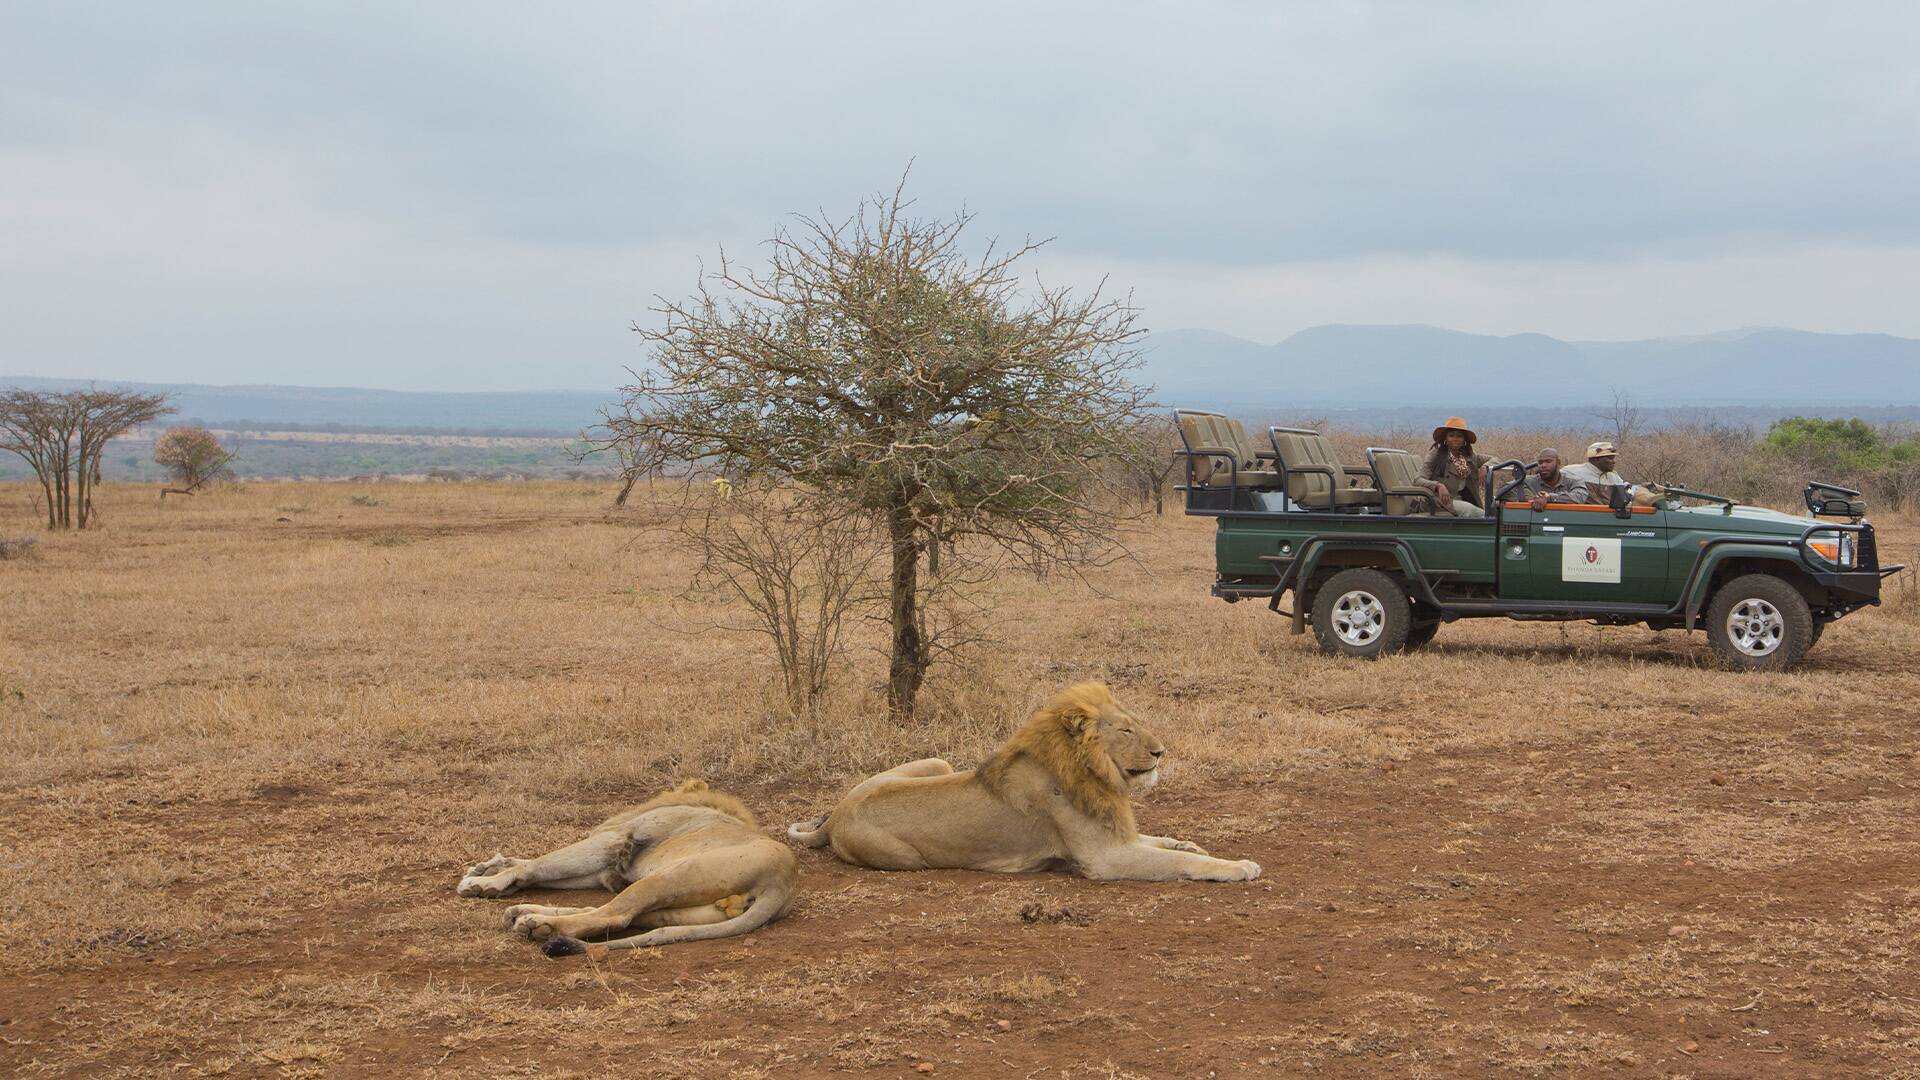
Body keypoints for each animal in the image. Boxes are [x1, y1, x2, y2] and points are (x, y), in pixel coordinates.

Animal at [456, 776, 794, 953]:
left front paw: (483, 883)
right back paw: (524, 912)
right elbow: (538, 865)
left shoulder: (613, 843)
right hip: (688, 908)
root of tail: (784, 882)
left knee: (615, 915)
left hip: (671, 876)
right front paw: (487, 869)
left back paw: (539, 924)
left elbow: (540, 863)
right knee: (624, 916)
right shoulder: (608, 870)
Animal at [787, 684, 1267, 880]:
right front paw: (1238, 866)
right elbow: (1177, 863)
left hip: (938, 761)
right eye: (1126, 730)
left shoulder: (1117, 835)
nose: (1161, 752)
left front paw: (1190, 843)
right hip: (905, 858)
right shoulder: (1103, 858)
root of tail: (835, 818)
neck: (1093, 773)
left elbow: (1164, 843)